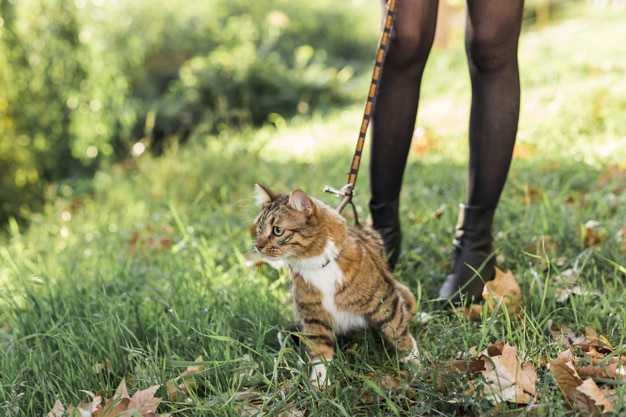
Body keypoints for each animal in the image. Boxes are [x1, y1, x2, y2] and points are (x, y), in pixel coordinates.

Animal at [250, 184, 420, 386]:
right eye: (260, 228)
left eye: (277, 230)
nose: (257, 246)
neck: (315, 265)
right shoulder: (313, 316)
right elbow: (320, 352)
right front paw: (320, 382)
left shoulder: (384, 300)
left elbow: (398, 330)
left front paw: (414, 361)